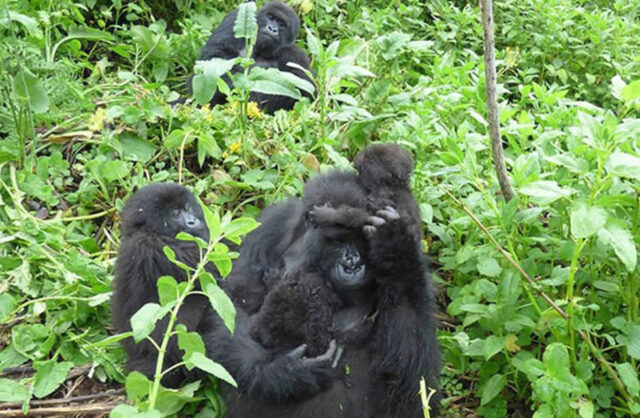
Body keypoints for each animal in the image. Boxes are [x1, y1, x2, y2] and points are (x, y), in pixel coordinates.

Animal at [224, 145, 440, 416]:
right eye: (337, 241)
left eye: (361, 241)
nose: (352, 262)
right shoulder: (273, 224)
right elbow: (233, 300)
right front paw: (284, 373)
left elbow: (410, 381)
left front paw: (394, 246)